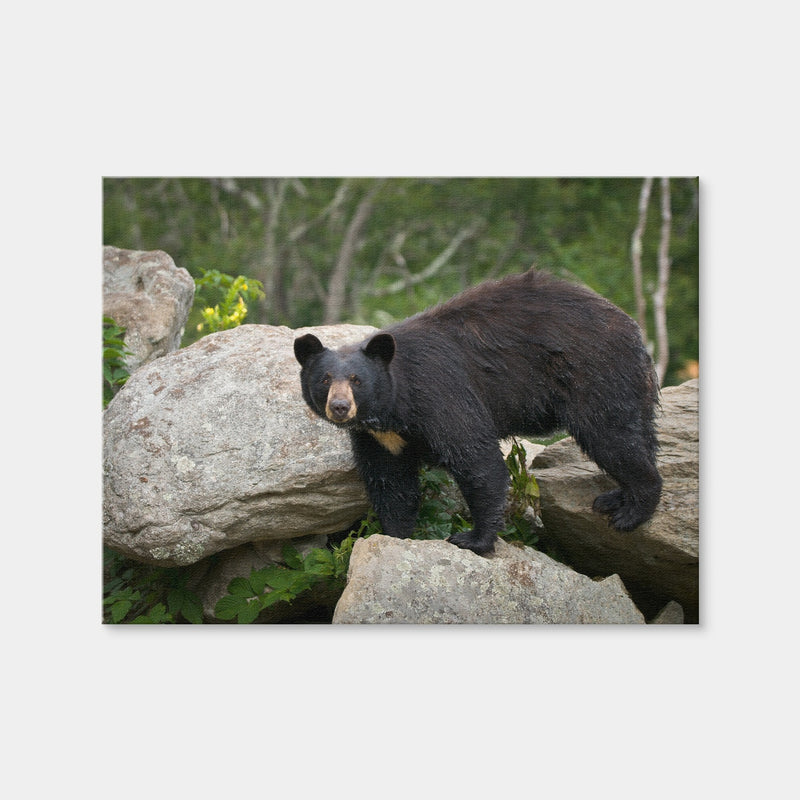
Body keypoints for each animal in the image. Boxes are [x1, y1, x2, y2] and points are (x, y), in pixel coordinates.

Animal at [294, 268, 662, 555]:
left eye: (357, 380)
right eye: (325, 379)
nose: (340, 407)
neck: (395, 407)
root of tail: (632, 328)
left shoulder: (440, 394)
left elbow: (476, 459)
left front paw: (473, 538)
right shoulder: (379, 437)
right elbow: (391, 482)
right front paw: (395, 534)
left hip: (593, 374)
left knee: (611, 437)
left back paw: (632, 511)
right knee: (637, 433)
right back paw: (616, 497)